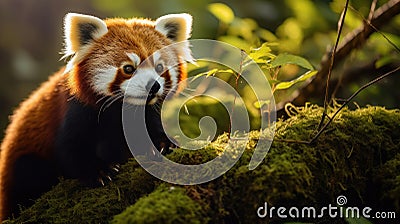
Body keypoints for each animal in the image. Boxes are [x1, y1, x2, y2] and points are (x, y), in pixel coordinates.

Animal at [0, 12, 192, 220]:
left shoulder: (146, 113)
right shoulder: (77, 110)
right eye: (128, 69)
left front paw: (165, 142)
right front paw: (100, 171)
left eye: (159, 67)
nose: (153, 86)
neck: (121, 110)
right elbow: (70, 149)